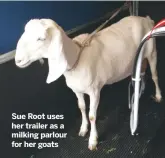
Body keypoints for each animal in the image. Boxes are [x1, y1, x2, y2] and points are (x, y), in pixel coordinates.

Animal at [14, 16, 162, 151]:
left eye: (41, 38)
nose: (18, 60)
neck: (76, 58)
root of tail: (146, 19)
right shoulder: (77, 90)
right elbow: (81, 107)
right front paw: (83, 129)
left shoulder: (94, 91)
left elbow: (92, 115)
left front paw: (93, 140)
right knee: (141, 72)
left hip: (152, 52)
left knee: (155, 75)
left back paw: (158, 96)